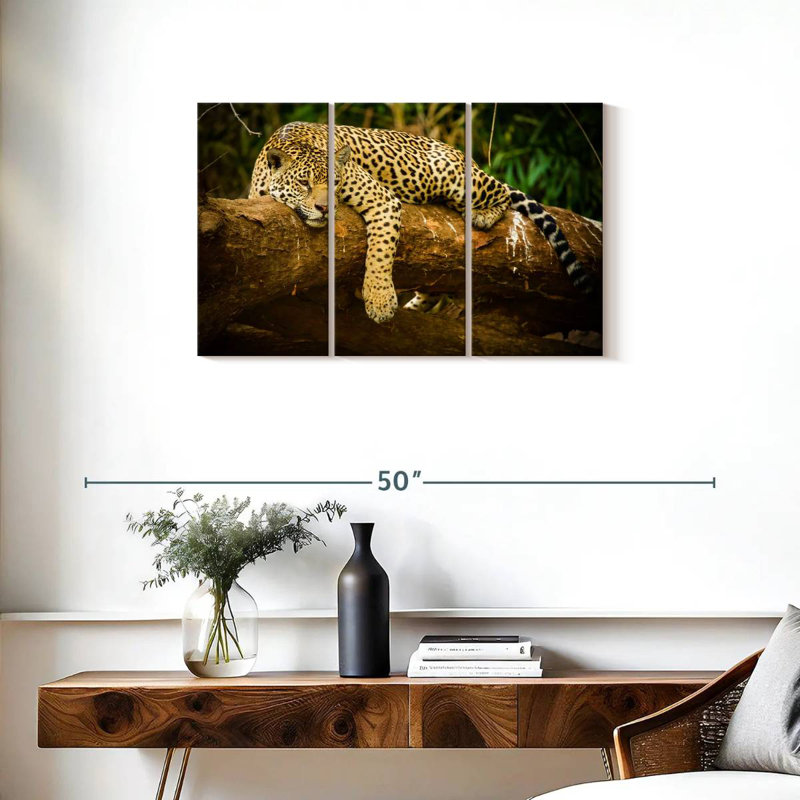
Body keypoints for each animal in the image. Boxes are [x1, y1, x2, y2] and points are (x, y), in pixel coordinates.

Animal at [249, 121, 594, 324]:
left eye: (334, 183)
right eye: (304, 183)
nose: (324, 208)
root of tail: (464, 156)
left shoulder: (382, 199)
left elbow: (379, 254)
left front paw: (380, 301)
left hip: (457, 178)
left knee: (502, 193)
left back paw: (481, 213)